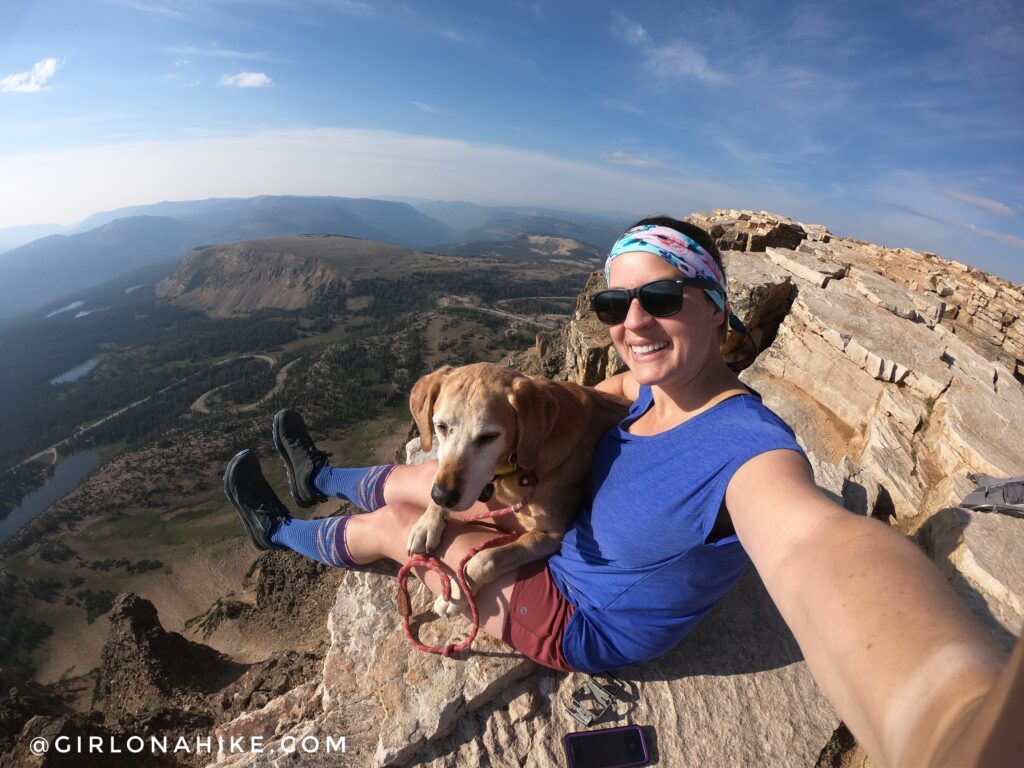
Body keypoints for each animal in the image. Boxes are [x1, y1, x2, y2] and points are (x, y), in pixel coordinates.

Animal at [403, 364, 626, 618]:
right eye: (440, 426)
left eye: (489, 437)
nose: (444, 496)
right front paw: (426, 523)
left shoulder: (553, 536)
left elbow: (485, 559)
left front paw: (458, 593)